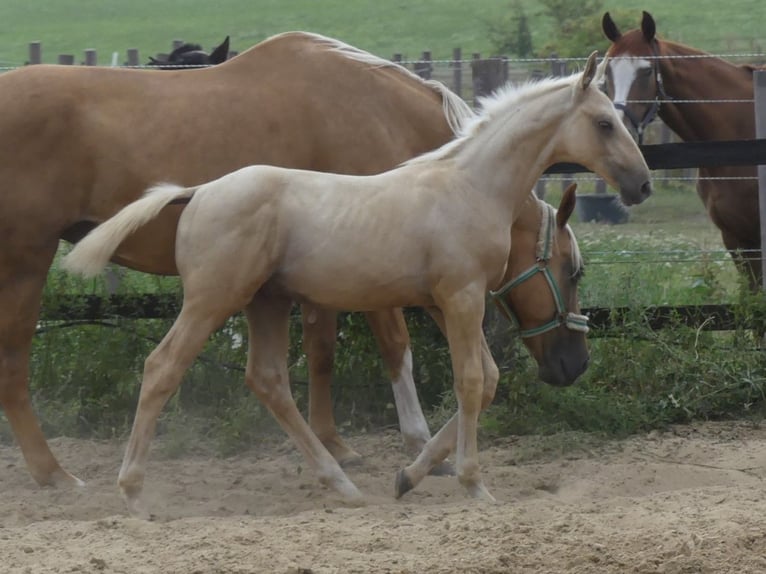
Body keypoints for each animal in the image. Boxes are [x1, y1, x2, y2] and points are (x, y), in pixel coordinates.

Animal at [0, 31, 474, 490]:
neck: (380, 114)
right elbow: (395, 346)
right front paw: (420, 444)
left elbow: (322, 351)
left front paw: (335, 446)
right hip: (25, 263)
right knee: (14, 362)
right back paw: (52, 472)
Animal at [66, 51, 656, 516]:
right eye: (604, 123)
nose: (642, 183)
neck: (469, 186)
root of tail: (199, 192)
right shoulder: (460, 297)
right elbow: (471, 381)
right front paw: (473, 484)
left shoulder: (454, 303)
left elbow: (485, 380)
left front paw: (409, 476)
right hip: (213, 300)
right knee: (162, 367)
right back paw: (133, 491)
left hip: (266, 303)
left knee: (268, 380)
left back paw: (343, 483)